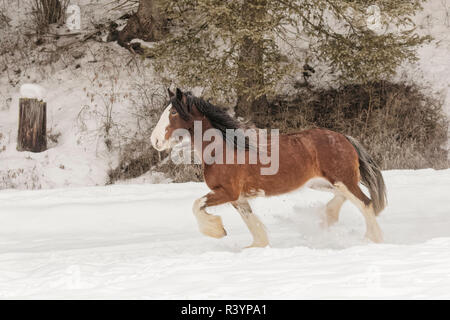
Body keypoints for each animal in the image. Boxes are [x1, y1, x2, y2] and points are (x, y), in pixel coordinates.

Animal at [150, 88, 386, 248]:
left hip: (341, 180)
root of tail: (344, 138)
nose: (155, 140)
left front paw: (217, 230)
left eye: (173, 113)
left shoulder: (227, 192)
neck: (224, 148)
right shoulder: (238, 198)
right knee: (345, 200)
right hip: (324, 183)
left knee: (365, 203)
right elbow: (252, 225)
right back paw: (328, 219)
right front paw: (255, 247)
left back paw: (372, 240)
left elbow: (197, 205)